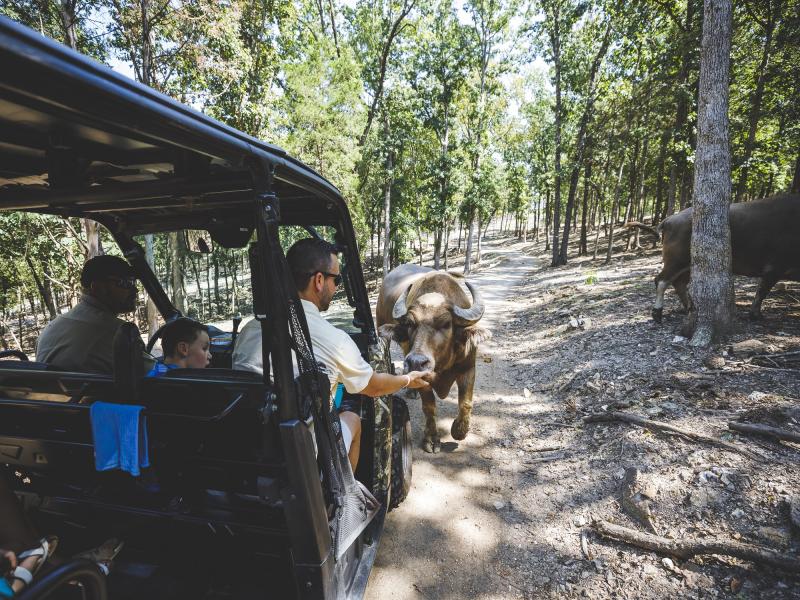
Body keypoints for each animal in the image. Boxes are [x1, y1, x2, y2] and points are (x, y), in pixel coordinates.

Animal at [376, 264, 494, 452]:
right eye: (410, 324)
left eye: (446, 324)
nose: (416, 362)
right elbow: (429, 406)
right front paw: (431, 439)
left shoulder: (468, 367)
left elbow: (466, 403)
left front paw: (459, 431)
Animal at [648, 193, 800, 324]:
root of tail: (669, 220)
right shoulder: (774, 268)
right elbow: (762, 292)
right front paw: (756, 316)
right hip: (676, 260)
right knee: (661, 280)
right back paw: (657, 314)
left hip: (688, 265)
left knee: (678, 283)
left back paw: (689, 308)